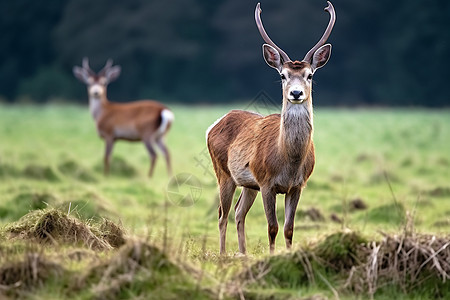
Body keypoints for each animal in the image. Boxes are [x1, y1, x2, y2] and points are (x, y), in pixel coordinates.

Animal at [207, 1, 334, 255]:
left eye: (309, 75)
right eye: (283, 75)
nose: (296, 93)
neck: (289, 161)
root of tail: (215, 123)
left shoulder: (298, 185)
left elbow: (289, 228)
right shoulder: (266, 182)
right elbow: (272, 227)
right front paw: (273, 256)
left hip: (248, 184)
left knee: (238, 212)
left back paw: (243, 254)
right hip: (223, 172)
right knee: (222, 214)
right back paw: (223, 254)